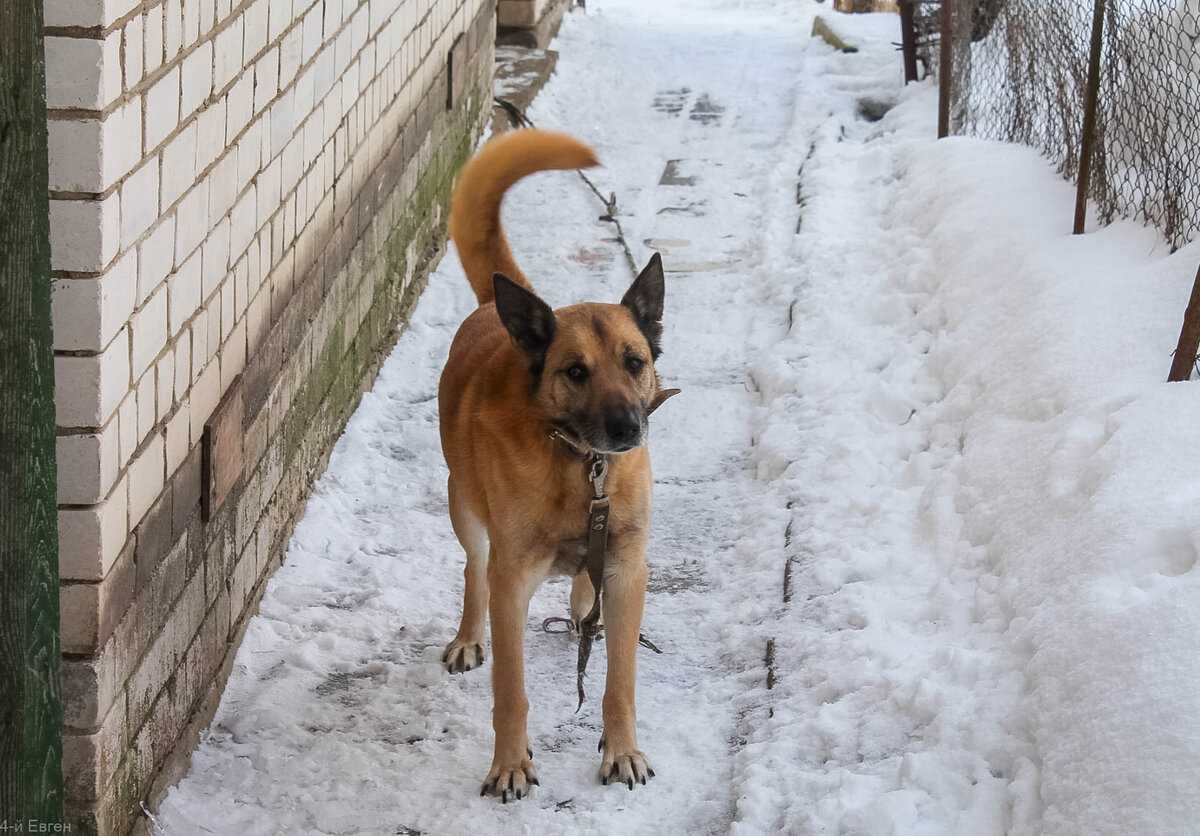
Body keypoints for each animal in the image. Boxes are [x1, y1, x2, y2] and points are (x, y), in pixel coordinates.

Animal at [441, 127, 672, 801]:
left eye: (634, 361)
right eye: (575, 372)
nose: (627, 429)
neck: (580, 465)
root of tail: (499, 311)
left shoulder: (627, 568)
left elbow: (619, 682)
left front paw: (622, 751)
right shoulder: (512, 581)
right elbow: (510, 692)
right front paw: (510, 764)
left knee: (584, 594)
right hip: (464, 509)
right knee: (473, 567)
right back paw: (469, 637)